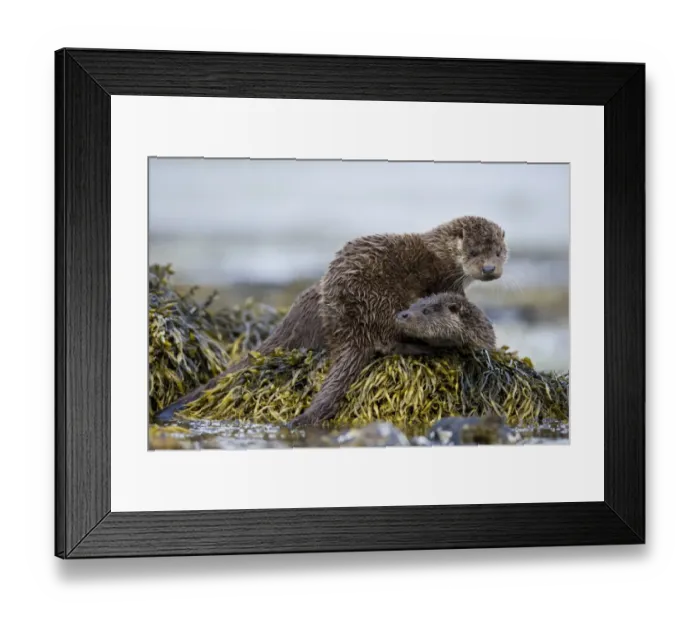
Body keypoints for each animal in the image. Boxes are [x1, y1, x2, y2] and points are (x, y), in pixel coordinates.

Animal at [289, 215, 507, 427]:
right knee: (388, 343)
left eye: (498, 253)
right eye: (473, 252)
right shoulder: (446, 281)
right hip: (382, 301)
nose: (489, 268)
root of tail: (351, 329)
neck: (441, 253)